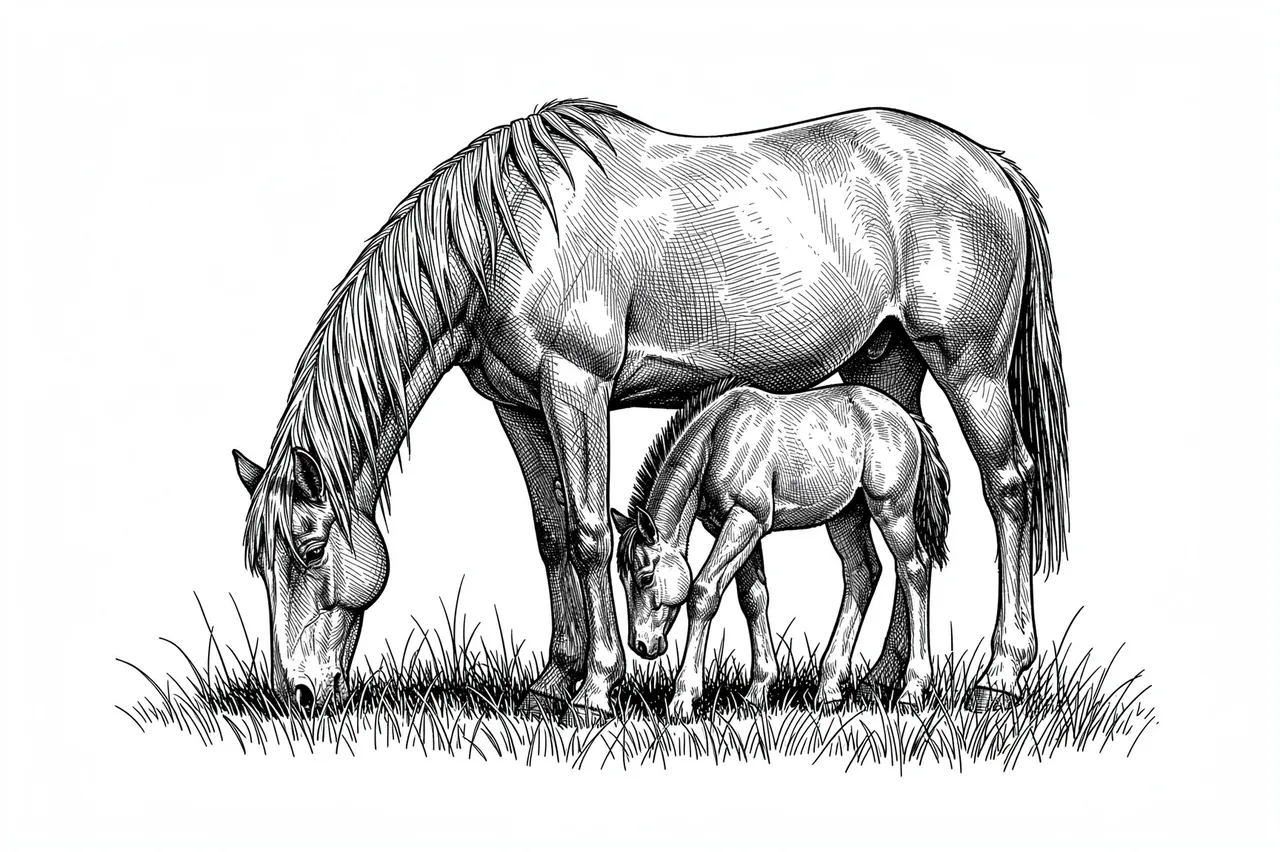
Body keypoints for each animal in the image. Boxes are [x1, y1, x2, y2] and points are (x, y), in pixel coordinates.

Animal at [611, 380, 951, 719]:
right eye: (623, 581)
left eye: (645, 578)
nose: (640, 645)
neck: (718, 437)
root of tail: (907, 417)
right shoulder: (735, 529)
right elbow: (753, 598)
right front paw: (757, 692)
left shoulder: (746, 519)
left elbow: (704, 592)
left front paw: (683, 698)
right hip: (846, 516)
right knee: (863, 574)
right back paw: (828, 689)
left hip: (891, 511)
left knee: (913, 569)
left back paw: (913, 689)